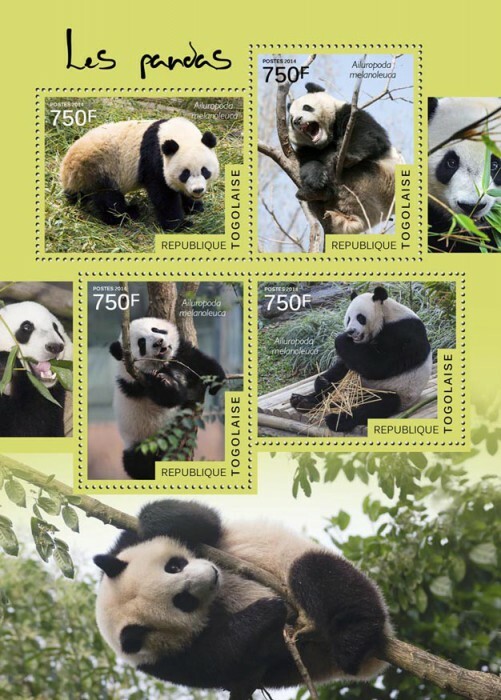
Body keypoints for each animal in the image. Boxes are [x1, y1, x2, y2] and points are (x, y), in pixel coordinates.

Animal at [60, 117, 219, 232]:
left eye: (205, 171)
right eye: (185, 174)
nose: (198, 190)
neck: (179, 134)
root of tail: (66, 173)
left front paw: (194, 206)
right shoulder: (154, 160)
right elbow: (163, 195)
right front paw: (180, 225)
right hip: (97, 168)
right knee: (108, 198)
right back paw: (128, 214)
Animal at [94, 499, 391, 695]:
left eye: (174, 566)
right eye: (183, 600)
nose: (212, 574)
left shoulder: (124, 546)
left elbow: (194, 518)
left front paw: (157, 523)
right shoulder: (167, 661)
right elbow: (222, 655)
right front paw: (267, 612)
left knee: (317, 573)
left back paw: (353, 637)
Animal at [109, 317, 226, 480]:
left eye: (156, 329)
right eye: (141, 343)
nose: (158, 342)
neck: (163, 364)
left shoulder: (180, 354)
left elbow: (201, 362)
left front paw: (216, 383)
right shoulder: (136, 382)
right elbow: (169, 398)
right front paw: (166, 382)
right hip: (139, 443)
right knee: (136, 465)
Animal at [287, 83, 402, 234]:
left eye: (306, 107)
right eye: (291, 119)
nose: (297, 120)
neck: (325, 140)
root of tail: (360, 219)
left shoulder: (349, 114)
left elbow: (368, 134)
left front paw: (347, 157)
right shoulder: (306, 148)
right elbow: (308, 164)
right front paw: (316, 178)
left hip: (377, 181)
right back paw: (313, 193)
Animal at [290, 287, 432, 432]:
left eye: (360, 318)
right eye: (348, 318)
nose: (350, 331)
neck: (387, 314)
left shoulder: (403, 332)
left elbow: (379, 365)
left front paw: (341, 339)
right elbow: (345, 365)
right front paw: (321, 381)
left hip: (397, 392)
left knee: (377, 404)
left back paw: (337, 420)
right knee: (335, 389)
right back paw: (303, 401)